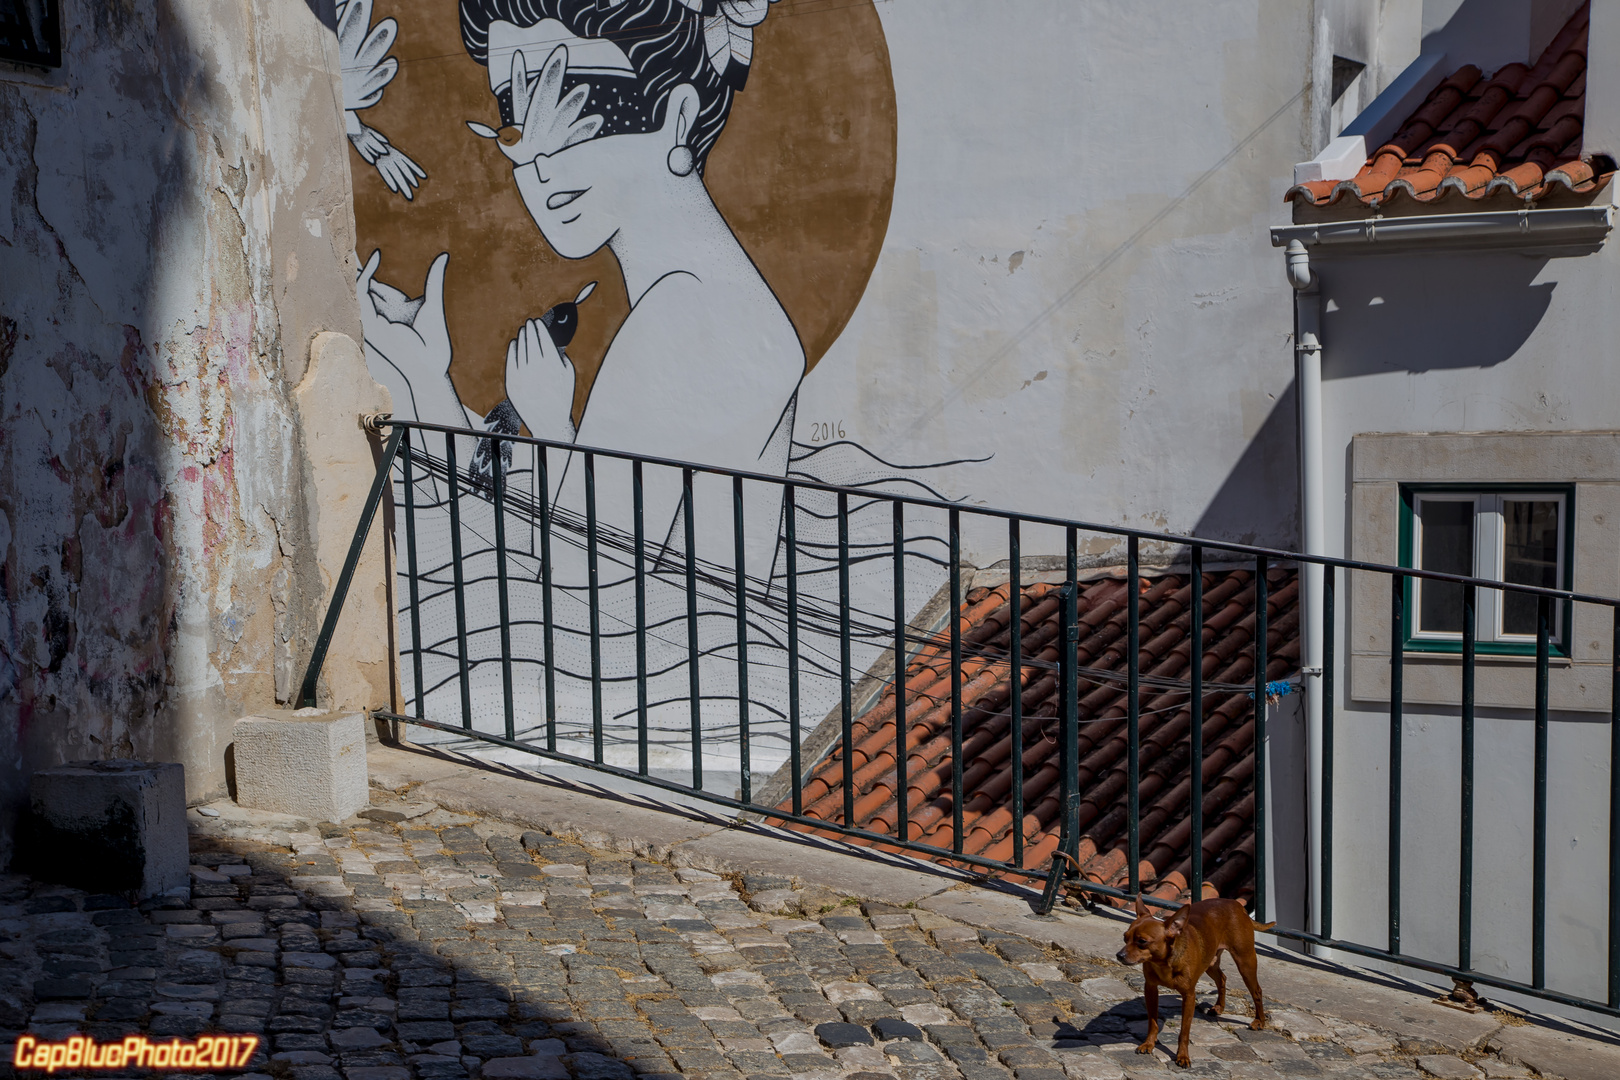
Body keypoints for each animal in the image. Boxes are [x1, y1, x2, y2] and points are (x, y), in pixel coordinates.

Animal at [1114, 900, 1276, 1068]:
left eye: (1142, 942)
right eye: (1125, 938)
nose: (1119, 955)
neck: (1164, 963)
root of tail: (1237, 905)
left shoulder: (1189, 996)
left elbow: (1184, 1032)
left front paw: (1183, 1056)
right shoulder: (1151, 989)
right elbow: (1153, 1022)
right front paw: (1149, 1044)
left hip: (1245, 963)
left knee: (1257, 991)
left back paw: (1259, 1021)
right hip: (1211, 962)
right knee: (1222, 978)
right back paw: (1219, 1006)